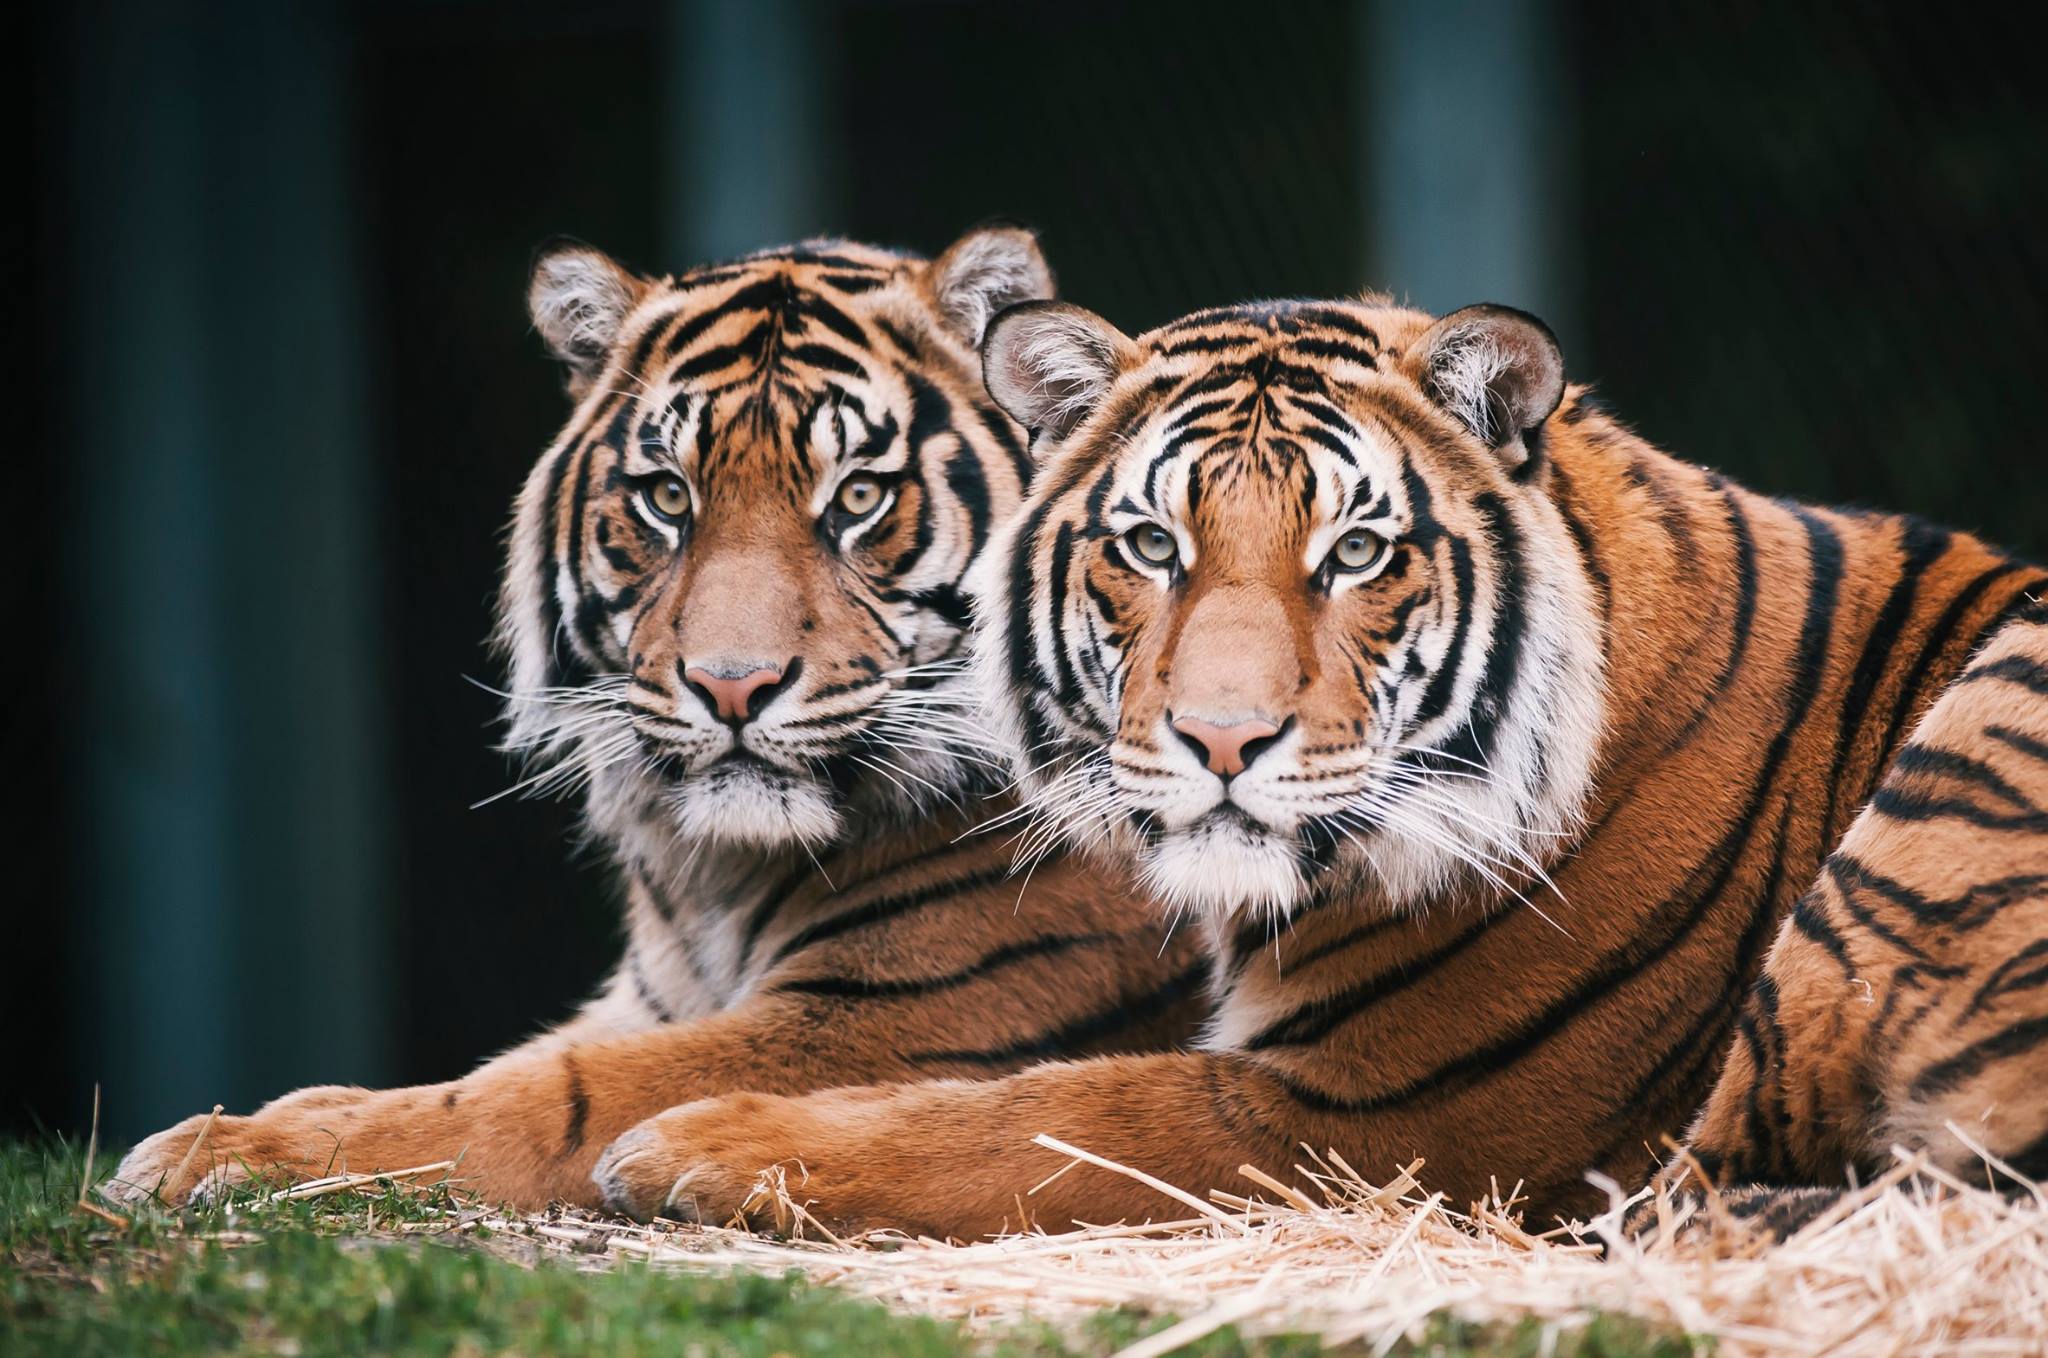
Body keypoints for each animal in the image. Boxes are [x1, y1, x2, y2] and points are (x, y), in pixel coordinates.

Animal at [106, 228, 1208, 1212]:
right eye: (667, 497)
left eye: (858, 495)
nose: (731, 686)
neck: (717, 875)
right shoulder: (652, 998)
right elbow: (486, 1069)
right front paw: (232, 1131)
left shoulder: (883, 1020)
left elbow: (537, 1095)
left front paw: (214, 1153)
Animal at [582, 292, 2048, 1241]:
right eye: (1153, 544)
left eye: (1355, 551)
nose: (1220, 740)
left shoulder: (1374, 1118)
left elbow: (1028, 1117)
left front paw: (683, 1145)